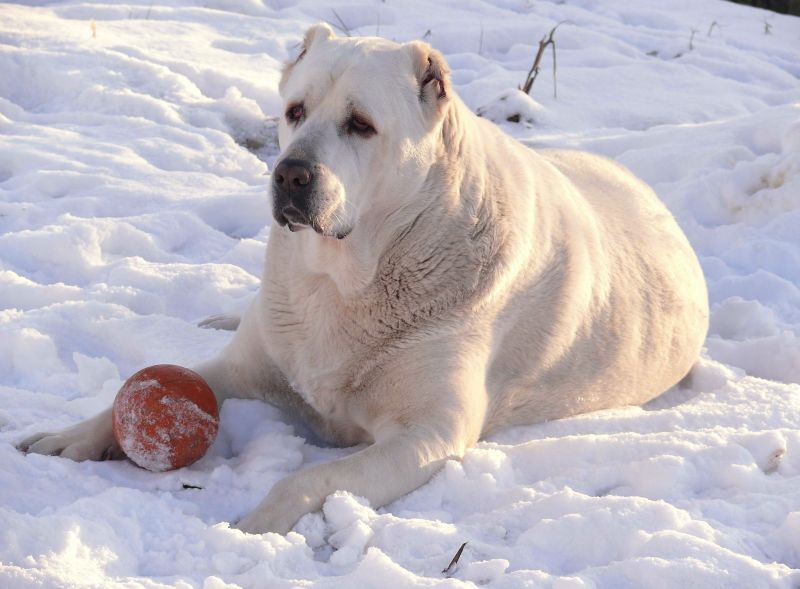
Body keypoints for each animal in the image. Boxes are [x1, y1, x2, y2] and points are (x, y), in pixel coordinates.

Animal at [17, 25, 708, 536]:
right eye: (294, 111)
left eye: (361, 124)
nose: (290, 174)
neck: (348, 280)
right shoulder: (246, 367)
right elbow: (162, 382)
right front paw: (67, 438)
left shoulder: (428, 434)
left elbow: (309, 478)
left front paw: (256, 522)